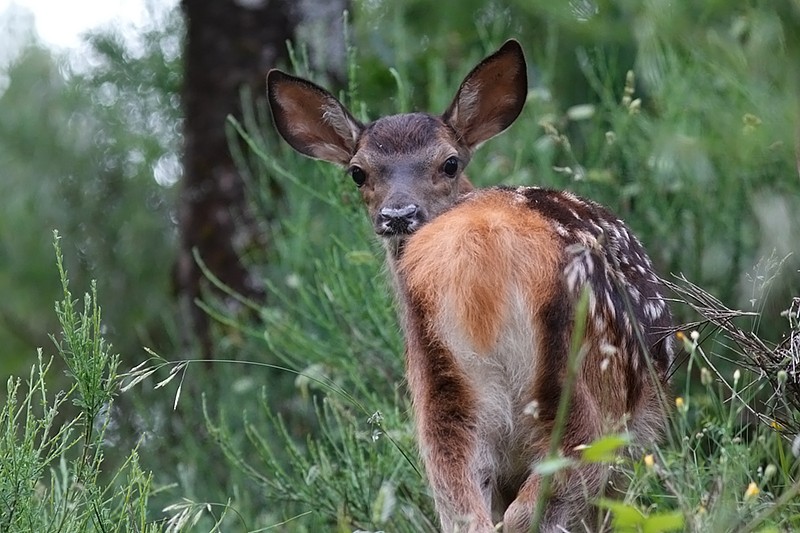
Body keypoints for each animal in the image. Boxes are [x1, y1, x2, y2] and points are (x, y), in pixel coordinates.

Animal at [266, 39, 672, 528]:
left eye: (450, 162)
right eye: (357, 172)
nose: (398, 214)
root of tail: (483, 242)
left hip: (438, 389)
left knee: (466, 510)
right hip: (590, 387)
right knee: (542, 500)